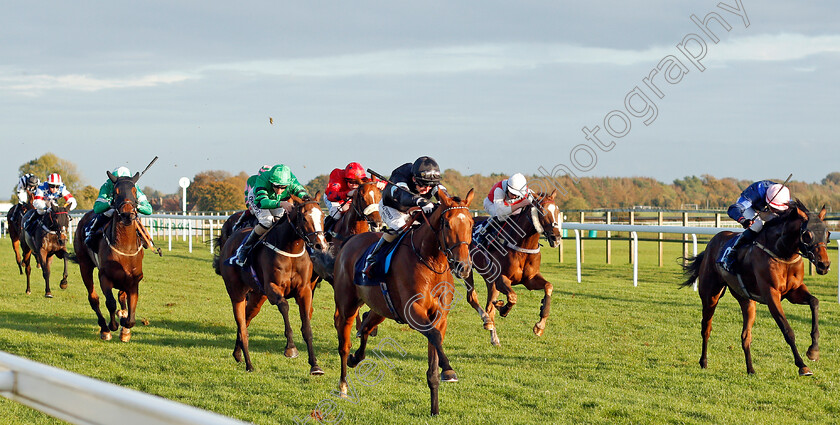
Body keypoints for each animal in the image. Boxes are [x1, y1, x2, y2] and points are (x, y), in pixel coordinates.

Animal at [73, 171, 145, 340]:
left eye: (134, 191)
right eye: (115, 192)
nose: (127, 215)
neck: (125, 247)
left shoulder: (134, 280)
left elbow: (131, 315)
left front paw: (125, 326)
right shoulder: (104, 276)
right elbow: (110, 302)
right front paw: (113, 325)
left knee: (120, 297)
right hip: (85, 265)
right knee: (93, 298)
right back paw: (104, 329)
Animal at [218, 190, 330, 372]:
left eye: (322, 216)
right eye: (304, 217)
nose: (320, 245)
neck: (291, 250)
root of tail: (230, 238)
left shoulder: (304, 290)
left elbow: (307, 327)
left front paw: (315, 365)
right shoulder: (272, 288)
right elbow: (284, 306)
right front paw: (291, 348)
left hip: (257, 297)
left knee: (246, 320)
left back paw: (237, 354)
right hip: (236, 293)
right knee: (242, 324)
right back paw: (249, 364)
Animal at [332, 188, 472, 414]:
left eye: (471, 223)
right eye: (447, 224)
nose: (464, 266)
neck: (431, 261)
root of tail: (350, 242)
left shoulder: (440, 317)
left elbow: (435, 347)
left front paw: (435, 408)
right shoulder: (413, 312)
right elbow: (434, 336)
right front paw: (449, 370)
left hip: (381, 307)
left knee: (366, 325)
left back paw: (357, 357)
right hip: (347, 305)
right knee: (344, 343)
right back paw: (343, 385)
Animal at [462, 190, 560, 346]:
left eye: (557, 210)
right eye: (542, 211)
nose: (556, 237)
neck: (522, 244)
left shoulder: (529, 279)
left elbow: (548, 286)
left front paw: (540, 326)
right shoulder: (501, 278)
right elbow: (513, 297)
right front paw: (503, 308)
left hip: (489, 280)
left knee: (489, 306)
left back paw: (494, 337)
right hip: (466, 269)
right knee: (472, 298)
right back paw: (487, 320)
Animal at [684, 200, 832, 376]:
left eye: (828, 234)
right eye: (807, 235)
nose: (824, 265)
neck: (782, 252)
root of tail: (712, 242)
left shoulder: (793, 291)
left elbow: (815, 302)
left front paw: (813, 350)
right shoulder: (771, 295)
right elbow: (787, 330)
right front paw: (802, 365)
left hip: (747, 301)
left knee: (745, 335)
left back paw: (750, 369)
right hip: (710, 295)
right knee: (706, 328)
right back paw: (703, 361)